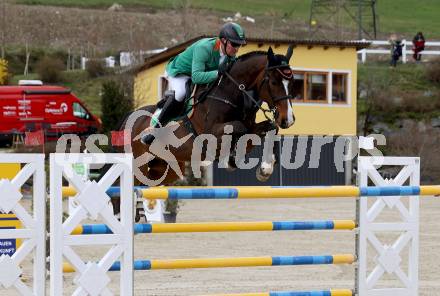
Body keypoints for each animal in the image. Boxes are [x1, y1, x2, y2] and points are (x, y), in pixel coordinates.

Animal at [111, 45, 294, 213]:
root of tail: (129, 117)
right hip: (137, 164)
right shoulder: (210, 134)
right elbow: (238, 128)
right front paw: (231, 159)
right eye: (274, 82)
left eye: (292, 82)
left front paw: (265, 169)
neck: (230, 94)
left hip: (165, 167)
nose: (288, 120)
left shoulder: (252, 128)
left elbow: (270, 128)